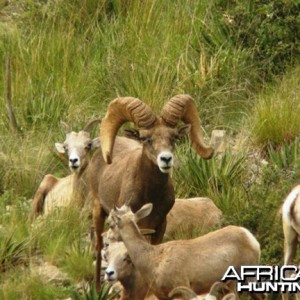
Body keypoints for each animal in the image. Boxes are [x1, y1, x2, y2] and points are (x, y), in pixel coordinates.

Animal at [88, 93, 213, 288]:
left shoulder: (159, 226)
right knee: (99, 247)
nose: (166, 159)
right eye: (146, 138)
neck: (151, 196)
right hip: (98, 211)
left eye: (174, 137)